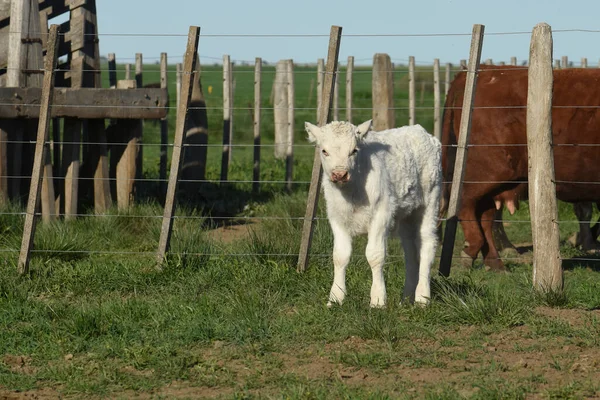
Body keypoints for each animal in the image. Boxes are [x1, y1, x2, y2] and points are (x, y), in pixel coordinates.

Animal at [304, 119, 440, 306]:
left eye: (354, 150)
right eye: (324, 151)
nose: (340, 174)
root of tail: (419, 130)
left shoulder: (381, 214)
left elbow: (375, 254)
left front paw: (377, 299)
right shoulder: (336, 217)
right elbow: (340, 255)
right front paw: (335, 298)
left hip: (430, 201)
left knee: (426, 244)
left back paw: (422, 298)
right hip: (407, 214)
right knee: (410, 251)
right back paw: (406, 298)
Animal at [440, 65, 600, 272]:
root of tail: (486, 69)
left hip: (498, 183)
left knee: (485, 215)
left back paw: (495, 263)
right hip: (489, 173)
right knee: (464, 203)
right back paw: (471, 248)